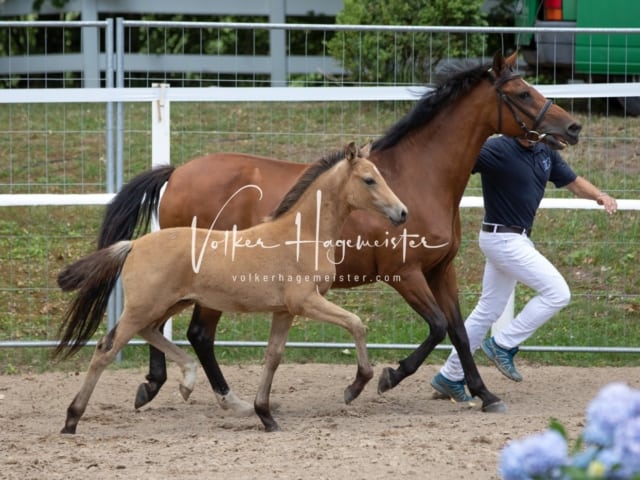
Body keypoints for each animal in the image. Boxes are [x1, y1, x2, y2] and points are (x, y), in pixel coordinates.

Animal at [53, 143, 404, 436]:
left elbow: (273, 356)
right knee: (106, 349)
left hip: (171, 303)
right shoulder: (305, 301)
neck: (303, 233)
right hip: (145, 306)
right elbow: (356, 324)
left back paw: (187, 382)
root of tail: (134, 245)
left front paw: (265, 415)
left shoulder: (284, 311)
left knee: (152, 332)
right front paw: (355, 387)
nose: (402, 213)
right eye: (369, 180)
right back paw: (71, 419)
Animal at [99, 50, 580, 414]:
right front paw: (383, 378)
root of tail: (177, 172)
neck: (418, 177)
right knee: (192, 332)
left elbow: (461, 332)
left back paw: (161, 386)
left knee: (171, 327)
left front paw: (485, 394)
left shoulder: (440, 270)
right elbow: (438, 326)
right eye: (521, 92)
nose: (572, 126)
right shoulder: (404, 274)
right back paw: (211, 395)